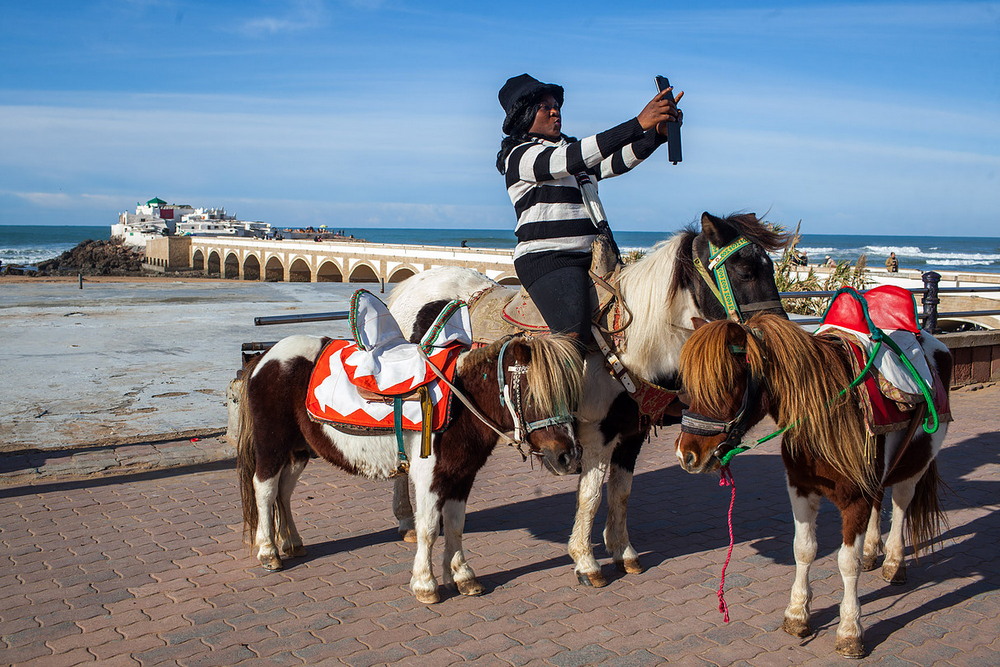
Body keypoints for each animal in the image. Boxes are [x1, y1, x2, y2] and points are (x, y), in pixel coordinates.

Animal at [233, 328, 584, 604]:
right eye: (533, 394)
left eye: (570, 394)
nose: (568, 457)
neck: (460, 403)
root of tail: (265, 358)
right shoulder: (429, 478)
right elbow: (428, 528)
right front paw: (425, 584)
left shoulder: (462, 476)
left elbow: (455, 525)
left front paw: (463, 576)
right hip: (273, 446)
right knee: (264, 489)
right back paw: (269, 552)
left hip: (298, 451)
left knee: (284, 492)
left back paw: (291, 543)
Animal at [390, 213, 788, 584]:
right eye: (745, 270)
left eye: (770, 266)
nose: (776, 331)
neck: (627, 341)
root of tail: (406, 287)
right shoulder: (597, 434)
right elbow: (592, 494)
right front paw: (586, 561)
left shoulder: (632, 431)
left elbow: (621, 492)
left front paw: (624, 552)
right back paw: (407, 520)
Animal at [672, 314, 944, 656]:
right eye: (687, 387)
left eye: (726, 384)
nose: (686, 455)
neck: (825, 416)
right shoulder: (800, 488)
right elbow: (803, 550)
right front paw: (797, 614)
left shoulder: (855, 498)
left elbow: (848, 563)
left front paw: (850, 630)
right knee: (880, 501)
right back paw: (873, 550)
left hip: (916, 463)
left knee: (900, 506)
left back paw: (895, 564)